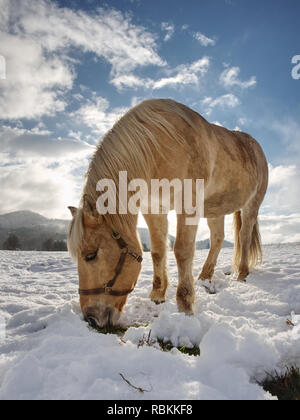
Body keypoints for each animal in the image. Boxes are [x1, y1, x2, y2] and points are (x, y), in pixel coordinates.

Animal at [68, 97, 270, 328]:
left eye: (91, 255)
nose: (91, 318)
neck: (160, 148)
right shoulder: (154, 208)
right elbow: (157, 251)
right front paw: (157, 294)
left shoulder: (188, 204)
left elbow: (182, 251)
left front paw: (186, 304)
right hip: (215, 209)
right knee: (218, 239)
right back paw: (205, 277)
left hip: (252, 205)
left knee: (244, 236)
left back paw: (242, 273)